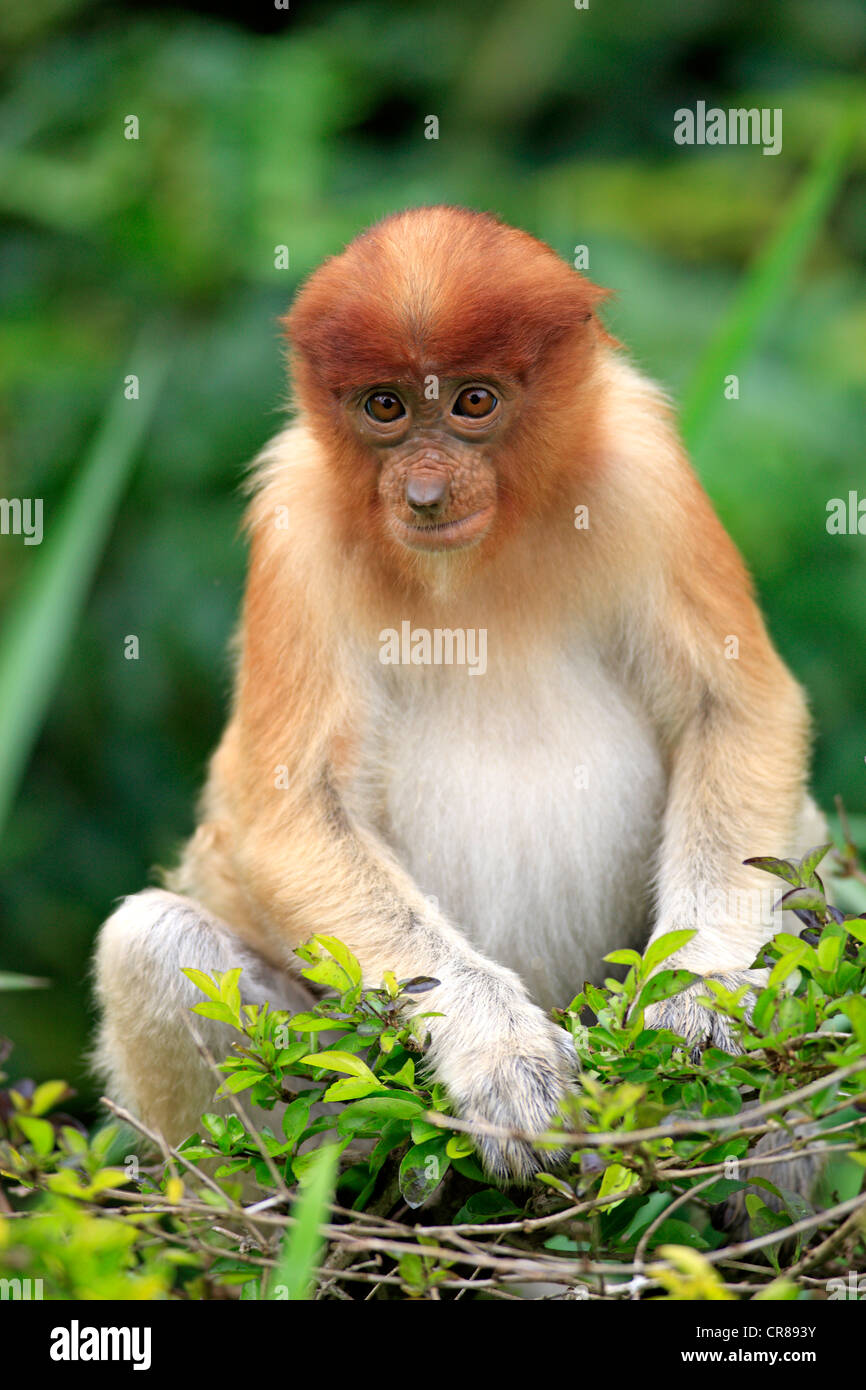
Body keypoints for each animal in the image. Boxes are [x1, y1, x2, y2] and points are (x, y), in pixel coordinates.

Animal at [94, 205, 828, 1178]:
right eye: (386, 406)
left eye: (474, 402)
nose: (425, 493)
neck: (481, 560)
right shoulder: (294, 525)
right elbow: (290, 812)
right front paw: (503, 1057)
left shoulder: (646, 475)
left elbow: (738, 712)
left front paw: (697, 1000)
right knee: (150, 940)